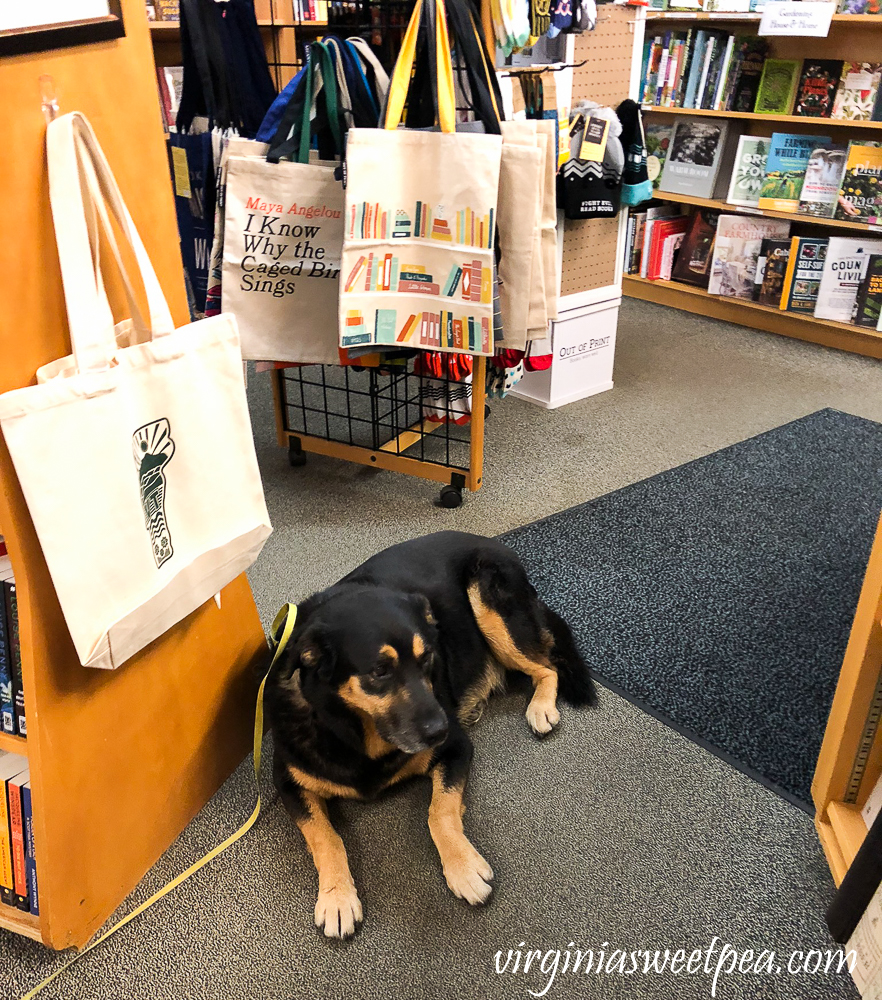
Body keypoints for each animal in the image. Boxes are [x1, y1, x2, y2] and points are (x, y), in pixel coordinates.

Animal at [264, 532, 596, 936]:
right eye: (379, 671)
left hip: (490, 607)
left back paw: (541, 706)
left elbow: (439, 812)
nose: (440, 729)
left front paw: (463, 867)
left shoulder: (456, 749)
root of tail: (491, 542)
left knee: (548, 668)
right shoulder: (288, 782)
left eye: (428, 660)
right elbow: (325, 837)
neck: (354, 732)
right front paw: (336, 896)